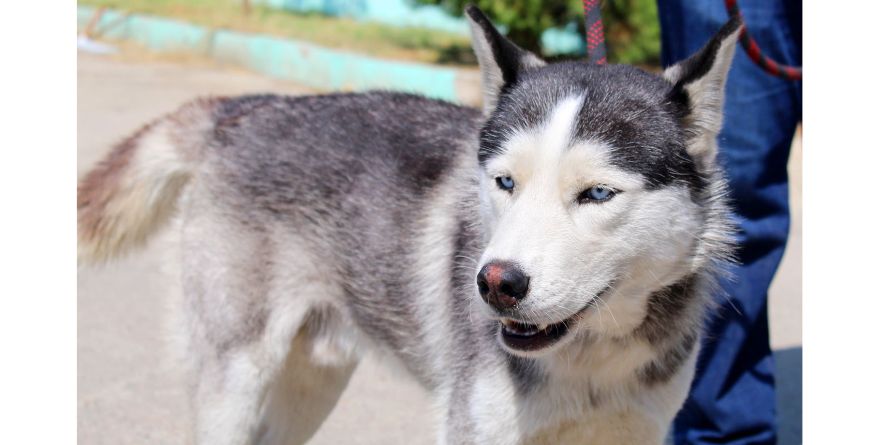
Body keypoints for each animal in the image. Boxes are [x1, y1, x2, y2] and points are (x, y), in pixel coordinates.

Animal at [78, 7, 744, 444]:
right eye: (505, 182)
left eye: (597, 194)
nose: (496, 284)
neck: (592, 356)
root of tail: (248, 108)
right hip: (237, 377)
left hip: (311, 381)